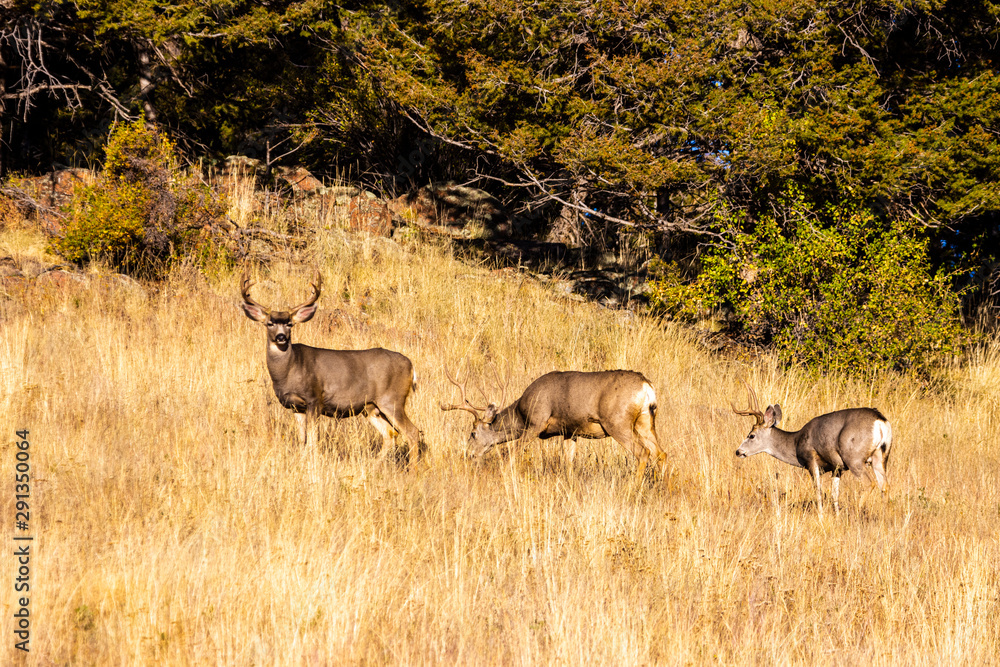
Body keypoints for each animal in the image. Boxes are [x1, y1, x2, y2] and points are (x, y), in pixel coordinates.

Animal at [240, 271, 424, 464]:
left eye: (290, 323)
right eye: (270, 323)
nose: (281, 337)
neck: (289, 370)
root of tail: (411, 365)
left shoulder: (314, 399)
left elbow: (312, 441)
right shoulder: (295, 407)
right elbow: (302, 440)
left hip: (392, 399)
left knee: (412, 432)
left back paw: (413, 467)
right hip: (370, 407)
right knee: (390, 433)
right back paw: (374, 464)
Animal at [440, 367, 667, 480]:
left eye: (472, 433)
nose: (469, 455)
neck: (520, 414)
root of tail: (646, 386)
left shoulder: (536, 422)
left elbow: (513, 454)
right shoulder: (570, 431)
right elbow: (568, 461)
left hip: (618, 422)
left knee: (643, 453)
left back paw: (632, 489)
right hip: (646, 421)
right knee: (661, 453)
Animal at [731, 382, 893, 514]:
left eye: (751, 435)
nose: (738, 451)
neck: (796, 442)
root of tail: (880, 421)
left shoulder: (811, 460)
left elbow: (818, 490)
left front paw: (821, 515)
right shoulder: (837, 467)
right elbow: (834, 494)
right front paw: (836, 516)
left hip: (854, 457)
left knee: (870, 483)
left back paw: (857, 512)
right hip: (881, 456)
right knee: (885, 486)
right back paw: (885, 516)